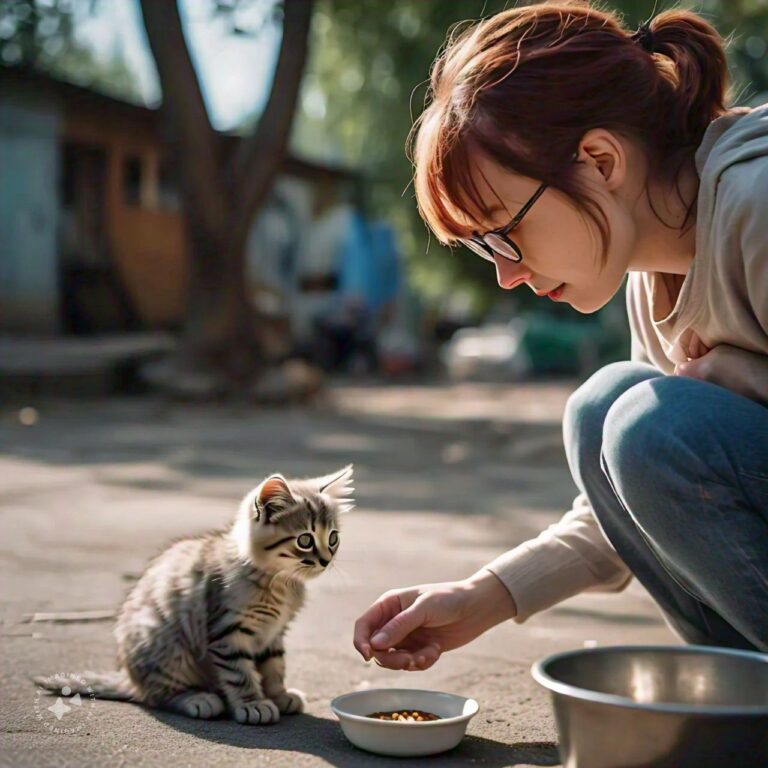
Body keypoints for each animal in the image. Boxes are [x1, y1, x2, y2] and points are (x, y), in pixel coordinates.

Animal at [32, 464, 352, 724]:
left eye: (333, 538)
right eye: (305, 540)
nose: (326, 560)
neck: (279, 582)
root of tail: (130, 678)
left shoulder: (273, 633)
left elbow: (274, 666)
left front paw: (278, 694)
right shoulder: (227, 631)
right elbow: (240, 673)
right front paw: (252, 704)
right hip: (166, 644)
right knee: (156, 696)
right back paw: (198, 699)